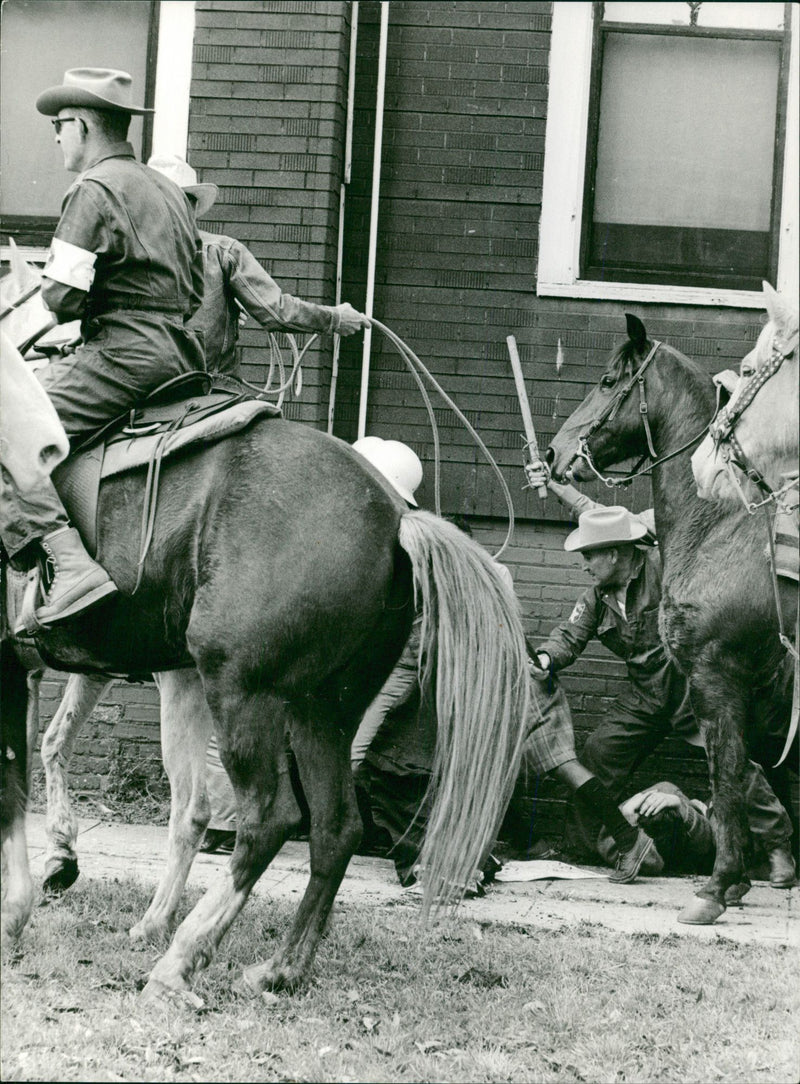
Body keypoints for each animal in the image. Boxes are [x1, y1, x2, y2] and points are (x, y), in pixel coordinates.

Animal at [4, 414, 535, 997]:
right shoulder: (90, 664)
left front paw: (19, 906)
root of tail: (396, 517)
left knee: (266, 820)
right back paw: (278, 968)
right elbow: (53, 746)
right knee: (333, 827)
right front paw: (58, 860)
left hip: (240, 691)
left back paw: (180, 958)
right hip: (320, 712)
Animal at [546, 314, 793, 923]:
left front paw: (717, 889)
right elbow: (737, 775)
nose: (554, 452)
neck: (719, 524)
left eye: (609, 381)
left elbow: (726, 776)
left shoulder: (715, 678)